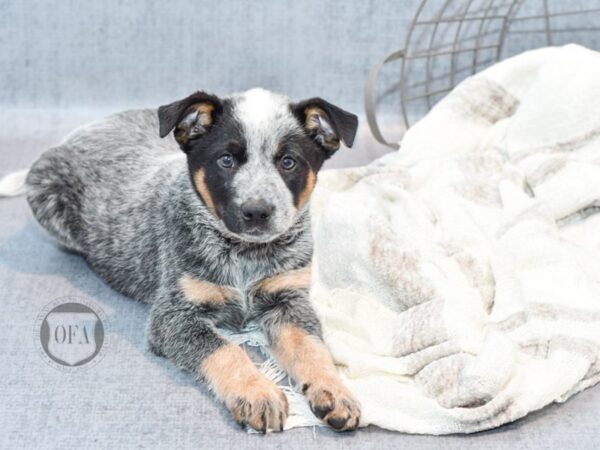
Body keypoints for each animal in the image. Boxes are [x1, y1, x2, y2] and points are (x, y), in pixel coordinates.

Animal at [24, 87, 360, 432]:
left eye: (288, 162)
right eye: (226, 160)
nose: (256, 212)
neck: (244, 253)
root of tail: (88, 126)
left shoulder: (288, 299)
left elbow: (312, 348)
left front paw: (335, 390)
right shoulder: (174, 316)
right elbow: (226, 349)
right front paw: (258, 392)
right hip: (42, 190)